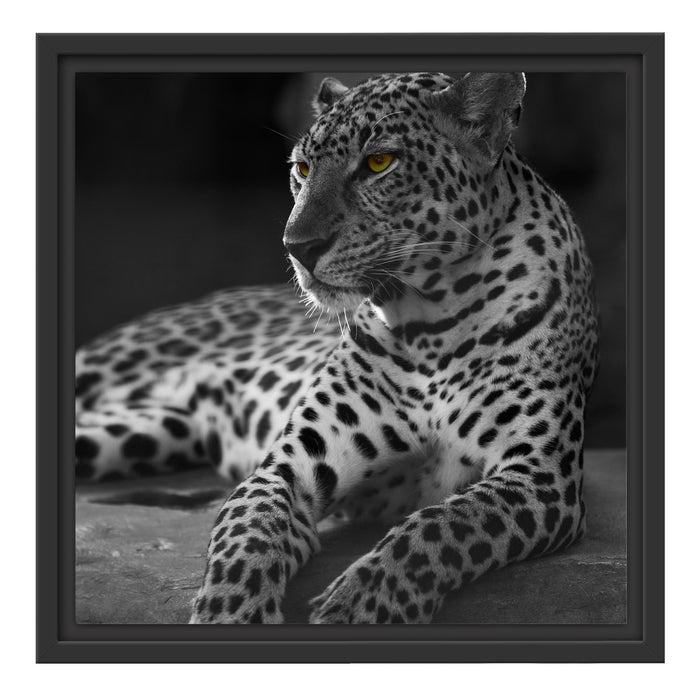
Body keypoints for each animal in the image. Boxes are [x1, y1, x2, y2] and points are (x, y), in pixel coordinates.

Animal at [75, 71, 599, 624]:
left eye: (378, 163)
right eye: (302, 169)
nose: (297, 247)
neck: (430, 323)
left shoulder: (540, 477)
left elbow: (442, 525)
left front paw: (360, 605)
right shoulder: (288, 467)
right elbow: (246, 534)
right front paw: (230, 612)